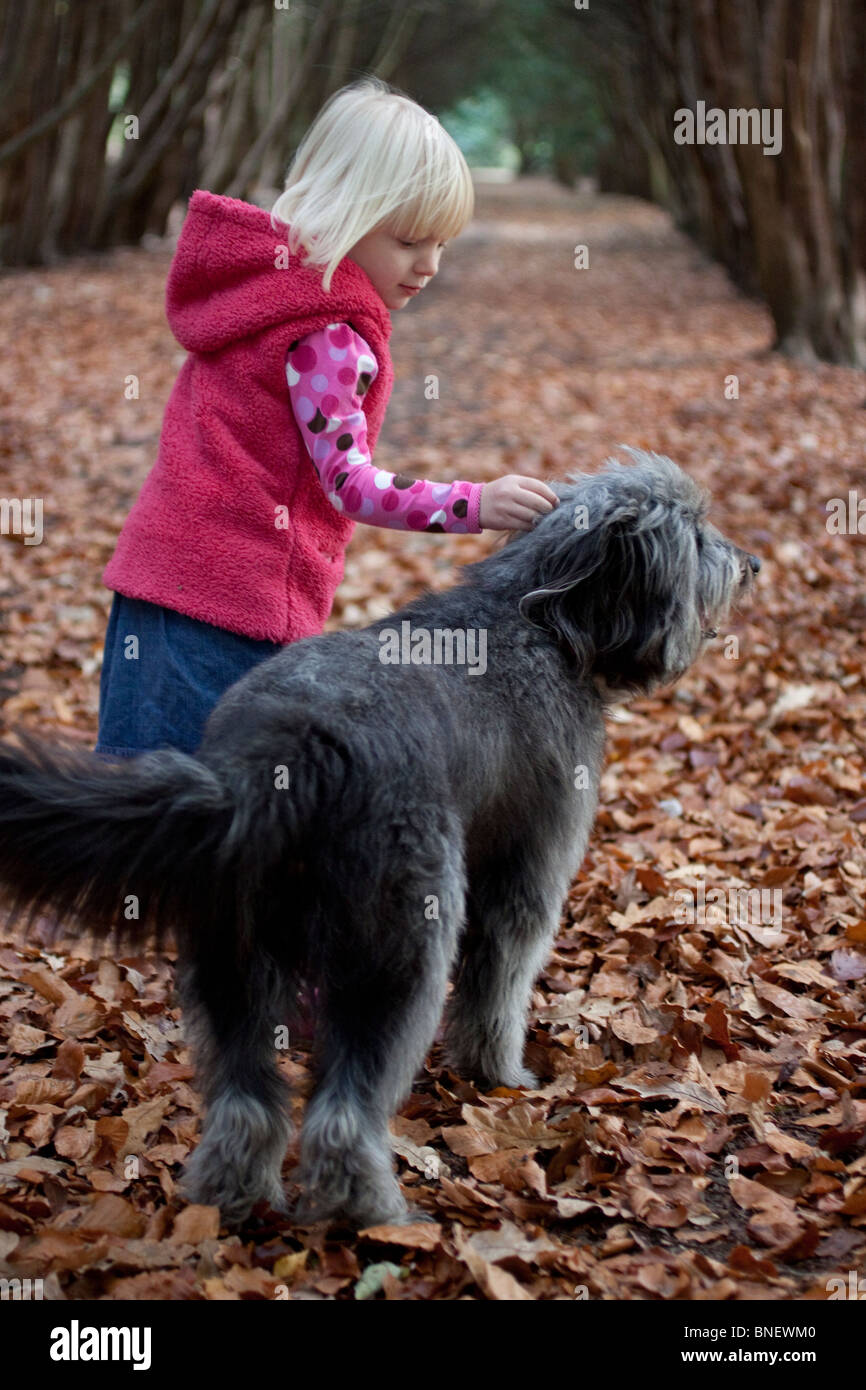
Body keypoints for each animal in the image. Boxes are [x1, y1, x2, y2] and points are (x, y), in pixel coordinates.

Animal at [0, 453, 756, 1228]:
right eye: (697, 533)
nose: (751, 564)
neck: (543, 616)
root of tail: (289, 748)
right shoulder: (529, 872)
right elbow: (500, 985)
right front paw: (502, 1073)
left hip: (232, 948)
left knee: (246, 1103)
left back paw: (236, 1197)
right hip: (402, 940)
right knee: (343, 1111)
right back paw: (374, 1213)